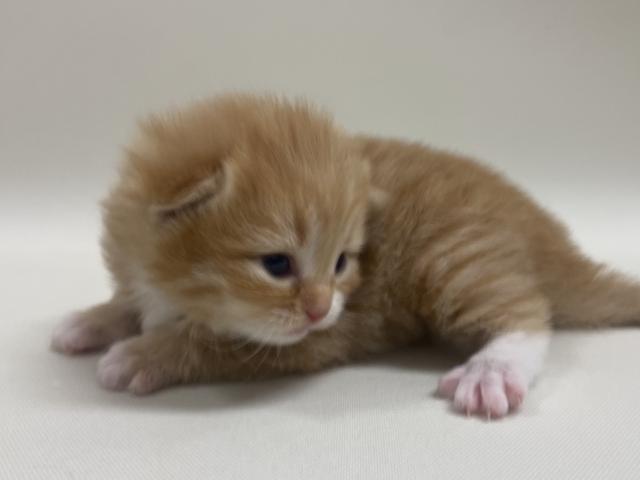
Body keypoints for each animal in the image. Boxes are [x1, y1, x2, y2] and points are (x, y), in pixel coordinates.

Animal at [52, 93, 640, 418]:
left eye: (340, 263)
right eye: (277, 264)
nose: (318, 308)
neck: (171, 286)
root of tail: (540, 225)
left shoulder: (312, 339)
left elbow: (207, 343)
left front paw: (142, 354)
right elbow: (129, 303)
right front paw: (90, 320)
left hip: (453, 255)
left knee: (527, 312)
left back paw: (492, 370)